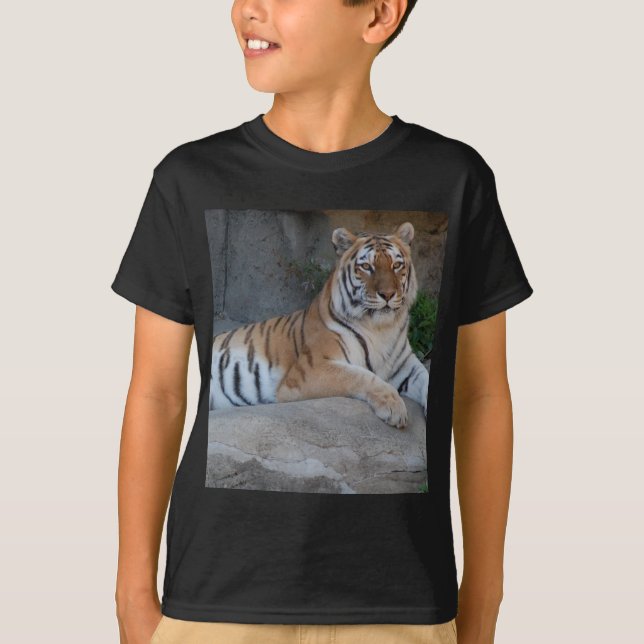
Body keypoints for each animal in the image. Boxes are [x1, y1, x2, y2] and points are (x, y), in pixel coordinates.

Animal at [208, 221, 429, 429]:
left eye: (396, 265)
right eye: (367, 267)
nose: (388, 294)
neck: (381, 329)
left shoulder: (406, 366)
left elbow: (427, 378)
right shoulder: (311, 369)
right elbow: (361, 376)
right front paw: (394, 406)